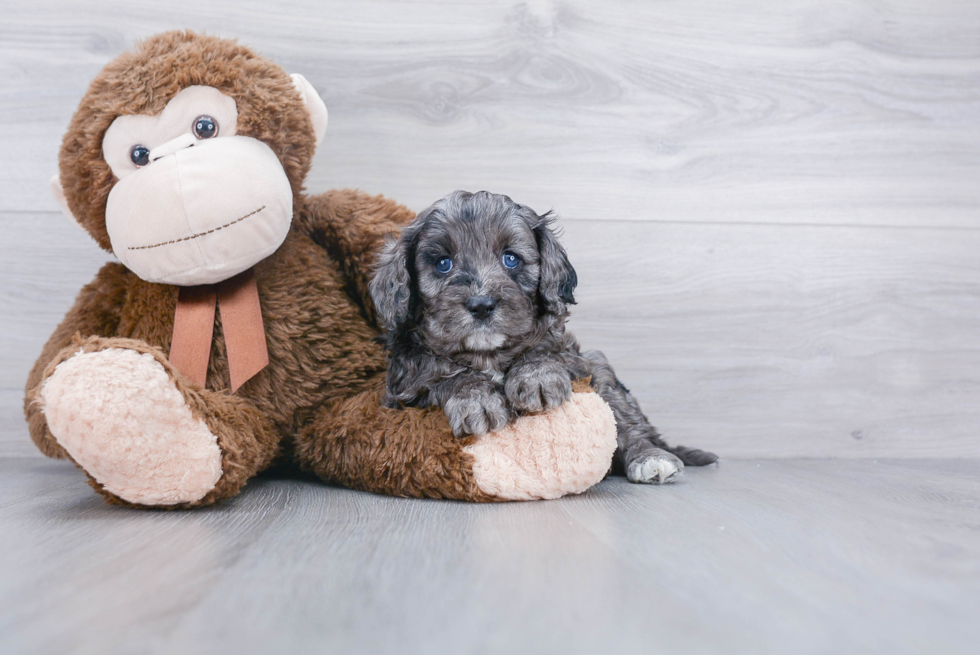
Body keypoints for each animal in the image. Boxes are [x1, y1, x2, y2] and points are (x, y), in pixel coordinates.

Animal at [372, 190, 716, 482]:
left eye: (511, 258)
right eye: (443, 263)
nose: (481, 304)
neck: (487, 354)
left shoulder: (573, 357)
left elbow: (544, 349)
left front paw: (537, 378)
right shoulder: (404, 392)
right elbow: (442, 375)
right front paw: (476, 399)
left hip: (599, 365)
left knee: (629, 421)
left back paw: (652, 458)